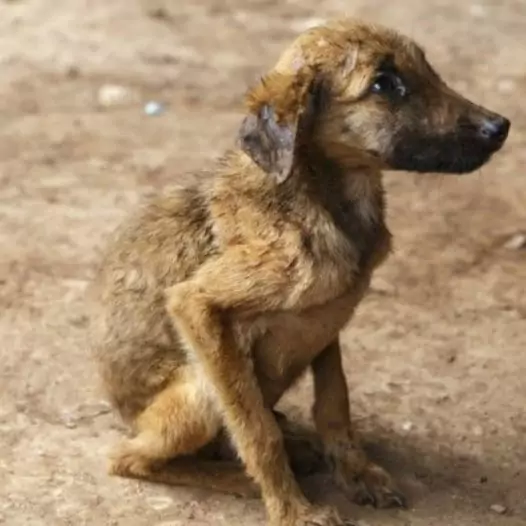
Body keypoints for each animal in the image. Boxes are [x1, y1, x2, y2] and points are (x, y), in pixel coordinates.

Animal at [89, 16, 512, 526]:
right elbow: (255, 431)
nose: (501, 126)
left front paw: (355, 472)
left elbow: (334, 403)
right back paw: (241, 478)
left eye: (427, 68)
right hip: (199, 386)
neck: (321, 196)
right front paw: (291, 508)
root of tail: (123, 413)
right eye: (384, 83)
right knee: (131, 459)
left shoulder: (329, 320)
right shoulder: (196, 304)